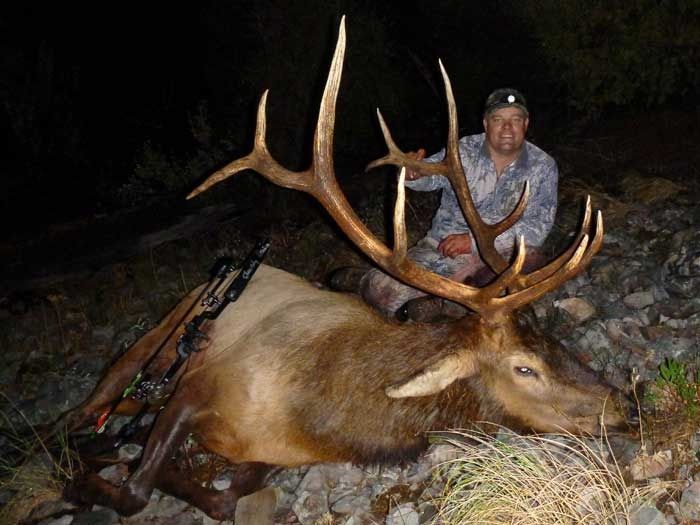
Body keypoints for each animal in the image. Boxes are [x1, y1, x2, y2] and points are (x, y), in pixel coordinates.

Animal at [57, 18, 636, 520]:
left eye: (553, 341)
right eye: (524, 368)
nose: (622, 403)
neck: (320, 417)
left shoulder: (270, 455)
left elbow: (221, 497)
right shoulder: (195, 389)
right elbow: (137, 490)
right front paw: (89, 482)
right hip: (156, 340)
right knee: (84, 408)